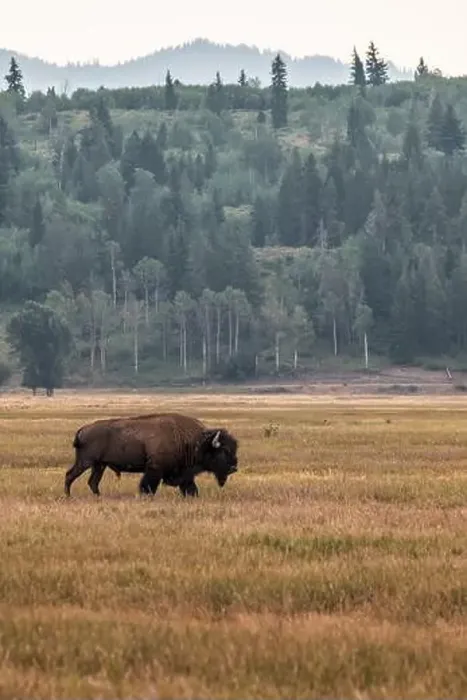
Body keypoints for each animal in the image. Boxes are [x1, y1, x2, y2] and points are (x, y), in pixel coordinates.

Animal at [64, 412, 238, 498]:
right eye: (224, 451)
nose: (233, 468)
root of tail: (82, 430)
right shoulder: (155, 469)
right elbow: (148, 486)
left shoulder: (185, 474)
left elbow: (190, 488)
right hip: (86, 462)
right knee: (70, 475)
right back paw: (68, 496)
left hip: (99, 465)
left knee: (93, 482)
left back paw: (98, 497)